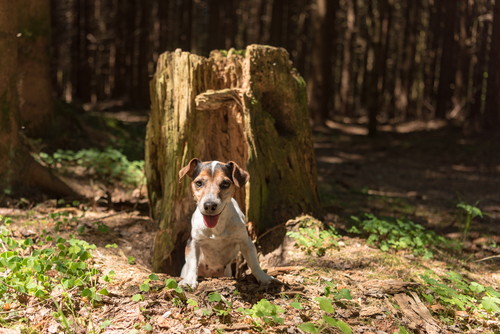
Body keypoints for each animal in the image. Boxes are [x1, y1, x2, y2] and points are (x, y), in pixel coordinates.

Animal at [179, 158, 276, 288]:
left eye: (225, 183)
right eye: (199, 183)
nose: (209, 205)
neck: (217, 227)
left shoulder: (246, 242)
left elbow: (254, 263)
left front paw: (263, 277)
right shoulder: (193, 242)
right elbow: (192, 262)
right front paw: (189, 281)